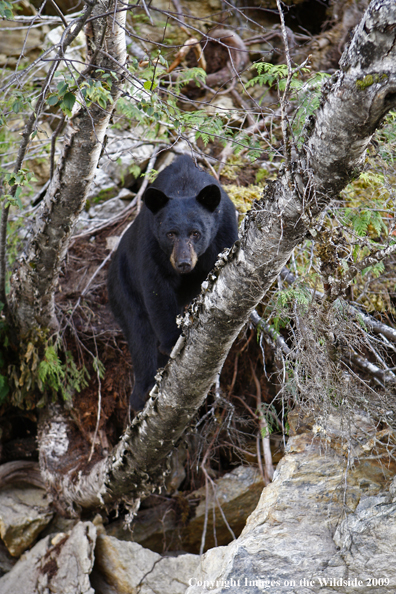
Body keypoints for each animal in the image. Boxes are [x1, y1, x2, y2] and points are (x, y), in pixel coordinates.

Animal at [106, 155, 238, 410]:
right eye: (170, 234)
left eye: (196, 233)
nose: (183, 262)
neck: (184, 186)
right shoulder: (151, 244)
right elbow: (156, 289)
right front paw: (171, 341)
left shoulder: (225, 229)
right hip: (122, 286)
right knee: (140, 334)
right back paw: (142, 393)